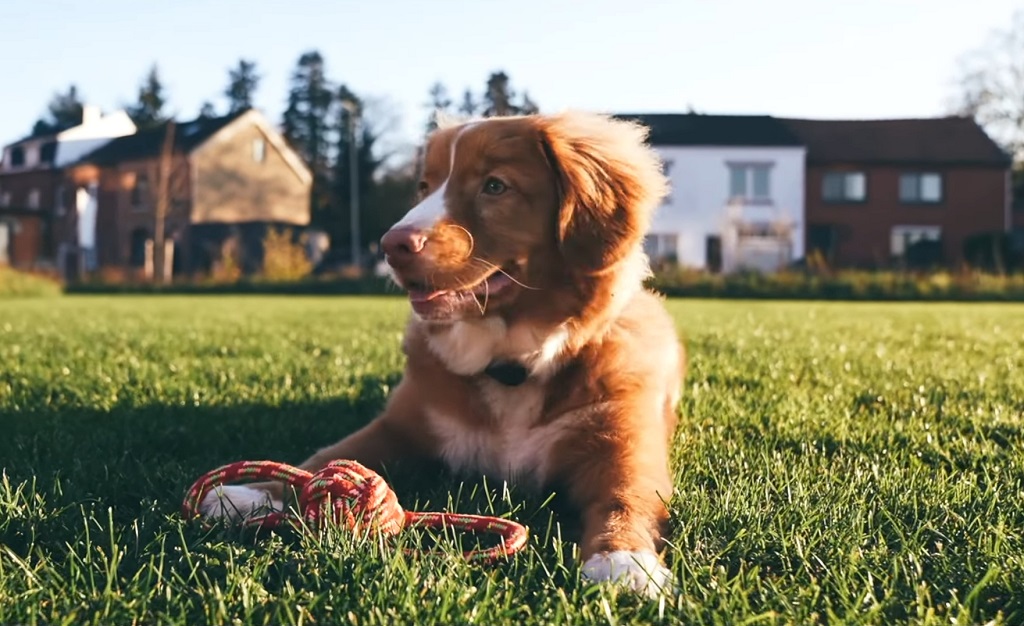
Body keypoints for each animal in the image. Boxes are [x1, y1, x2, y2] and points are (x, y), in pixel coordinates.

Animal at [196, 111, 684, 598]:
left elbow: (625, 498)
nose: (391, 245)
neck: (511, 365)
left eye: (495, 186)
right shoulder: (400, 427)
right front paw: (253, 492)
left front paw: (624, 561)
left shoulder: (622, 448)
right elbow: (327, 456)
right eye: (423, 186)